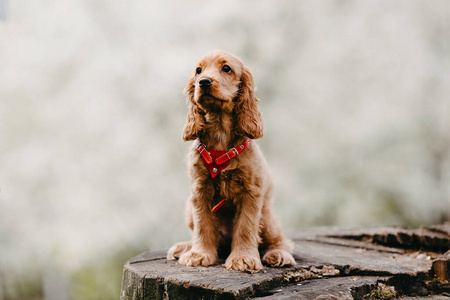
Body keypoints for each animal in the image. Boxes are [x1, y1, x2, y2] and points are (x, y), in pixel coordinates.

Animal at [166, 49, 296, 272]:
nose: (203, 82)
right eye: (198, 70)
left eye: (226, 68)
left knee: (281, 240)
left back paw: (279, 254)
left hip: (267, 218)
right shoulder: (199, 192)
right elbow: (203, 225)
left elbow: (245, 227)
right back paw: (184, 247)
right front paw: (199, 254)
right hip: (188, 210)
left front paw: (243, 258)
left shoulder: (250, 193)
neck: (219, 133)